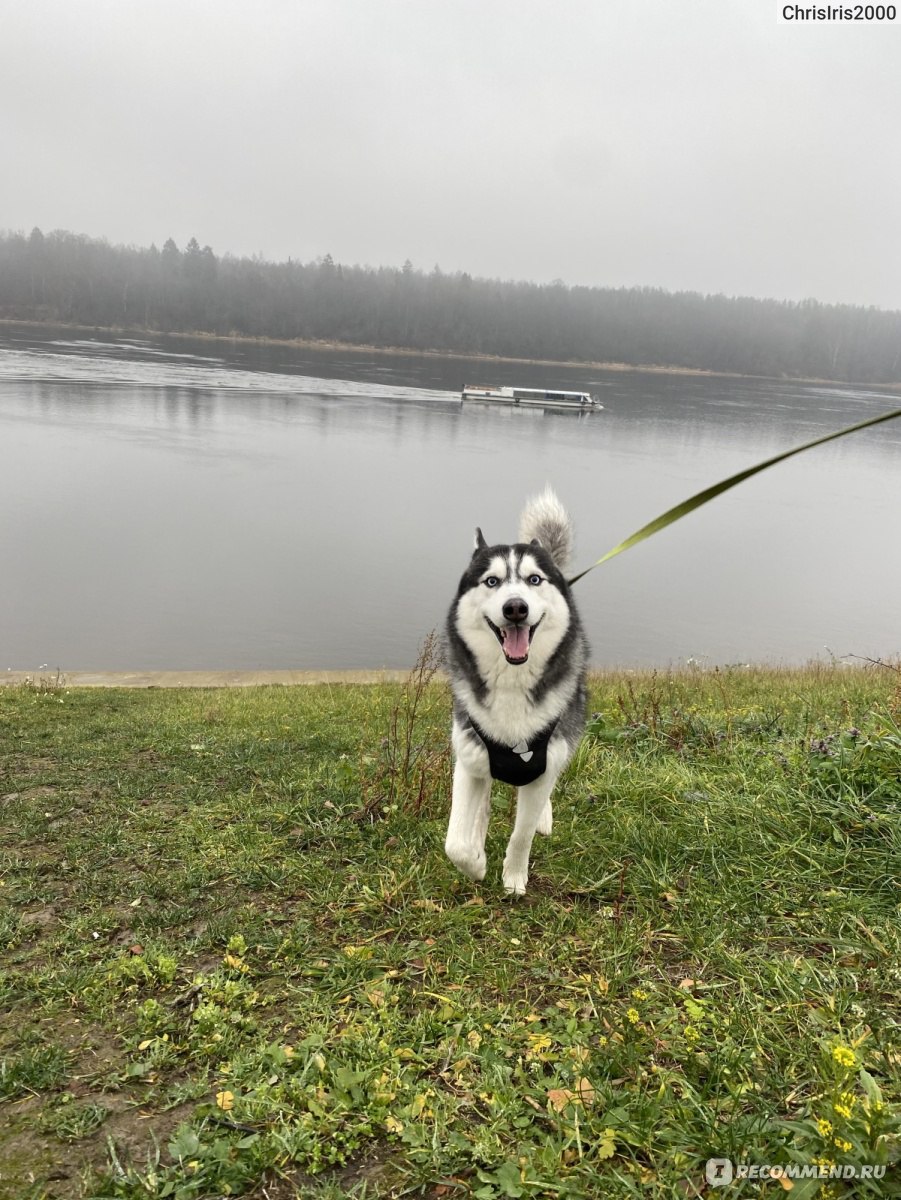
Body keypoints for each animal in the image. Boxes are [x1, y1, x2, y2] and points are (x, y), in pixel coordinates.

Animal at [446, 487, 592, 892]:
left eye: (534, 580)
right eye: (492, 582)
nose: (516, 608)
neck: (513, 682)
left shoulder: (545, 763)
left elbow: (521, 834)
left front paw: (513, 877)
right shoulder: (469, 759)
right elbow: (455, 843)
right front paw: (476, 863)